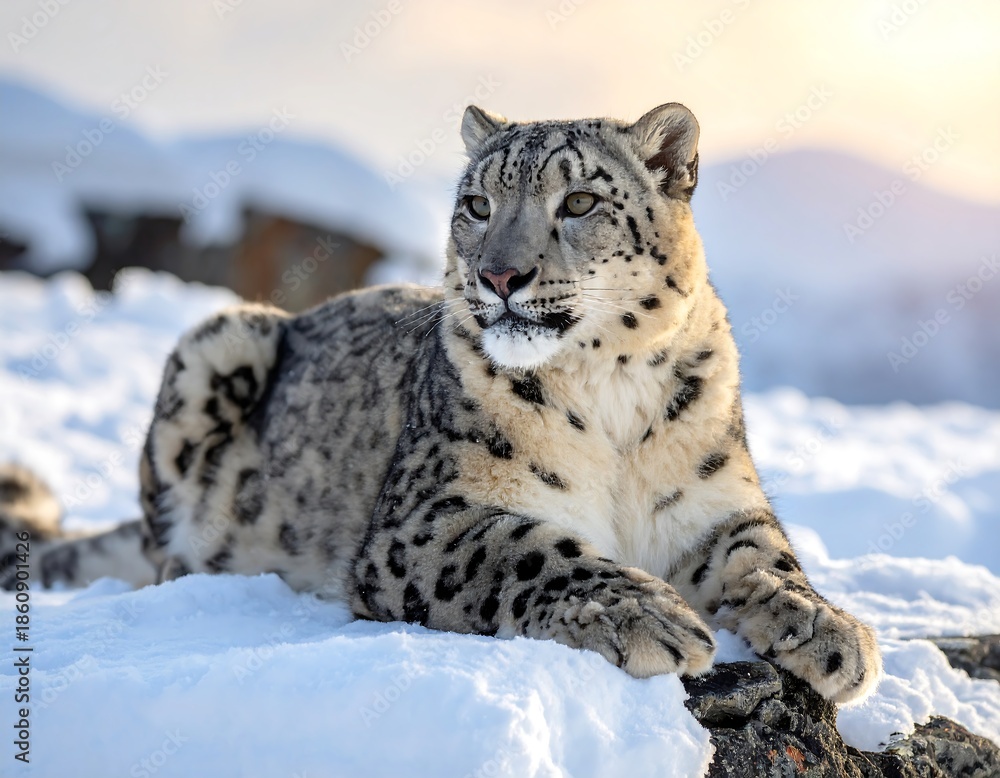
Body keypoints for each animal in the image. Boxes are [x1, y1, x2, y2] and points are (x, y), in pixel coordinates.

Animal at [1, 102, 881, 703]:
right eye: (477, 205)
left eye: (581, 204)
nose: (499, 274)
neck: (612, 397)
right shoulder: (427, 520)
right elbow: (532, 547)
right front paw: (645, 616)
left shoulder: (713, 503)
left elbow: (765, 556)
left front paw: (826, 630)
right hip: (219, 340)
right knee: (161, 554)